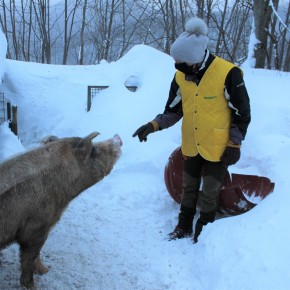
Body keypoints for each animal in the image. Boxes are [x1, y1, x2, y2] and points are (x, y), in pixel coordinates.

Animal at [0, 133, 122, 288]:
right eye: (94, 150)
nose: (117, 136)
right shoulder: (35, 229)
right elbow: (28, 262)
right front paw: (34, 285)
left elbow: (36, 256)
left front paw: (46, 270)